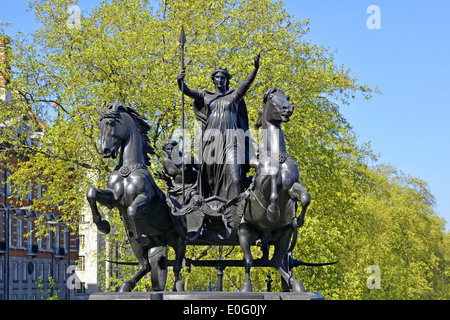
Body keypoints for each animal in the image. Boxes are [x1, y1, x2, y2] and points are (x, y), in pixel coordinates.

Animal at [86, 102, 185, 292]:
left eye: (110, 123)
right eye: (99, 126)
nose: (105, 151)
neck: (128, 170)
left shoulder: (144, 198)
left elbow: (132, 210)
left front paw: (143, 236)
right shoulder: (114, 199)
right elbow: (92, 192)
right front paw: (103, 225)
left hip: (178, 240)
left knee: (177, 266)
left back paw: (178, 286)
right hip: (137, 245)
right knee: (145, 266)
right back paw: (126, 284)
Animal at [239, 87, 310, 292]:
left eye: (287, 97)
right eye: (271, 97)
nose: (288, 109)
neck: (277, 157)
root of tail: (263, 236)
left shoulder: (292, 186)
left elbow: (305, 196)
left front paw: (298, 219)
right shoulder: (264, 184)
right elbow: (271, 189)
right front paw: (272, 211)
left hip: (284, 236)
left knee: (275, 261)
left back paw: (296, 285)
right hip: (244, 232)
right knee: (248, 260)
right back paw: (246, 287)